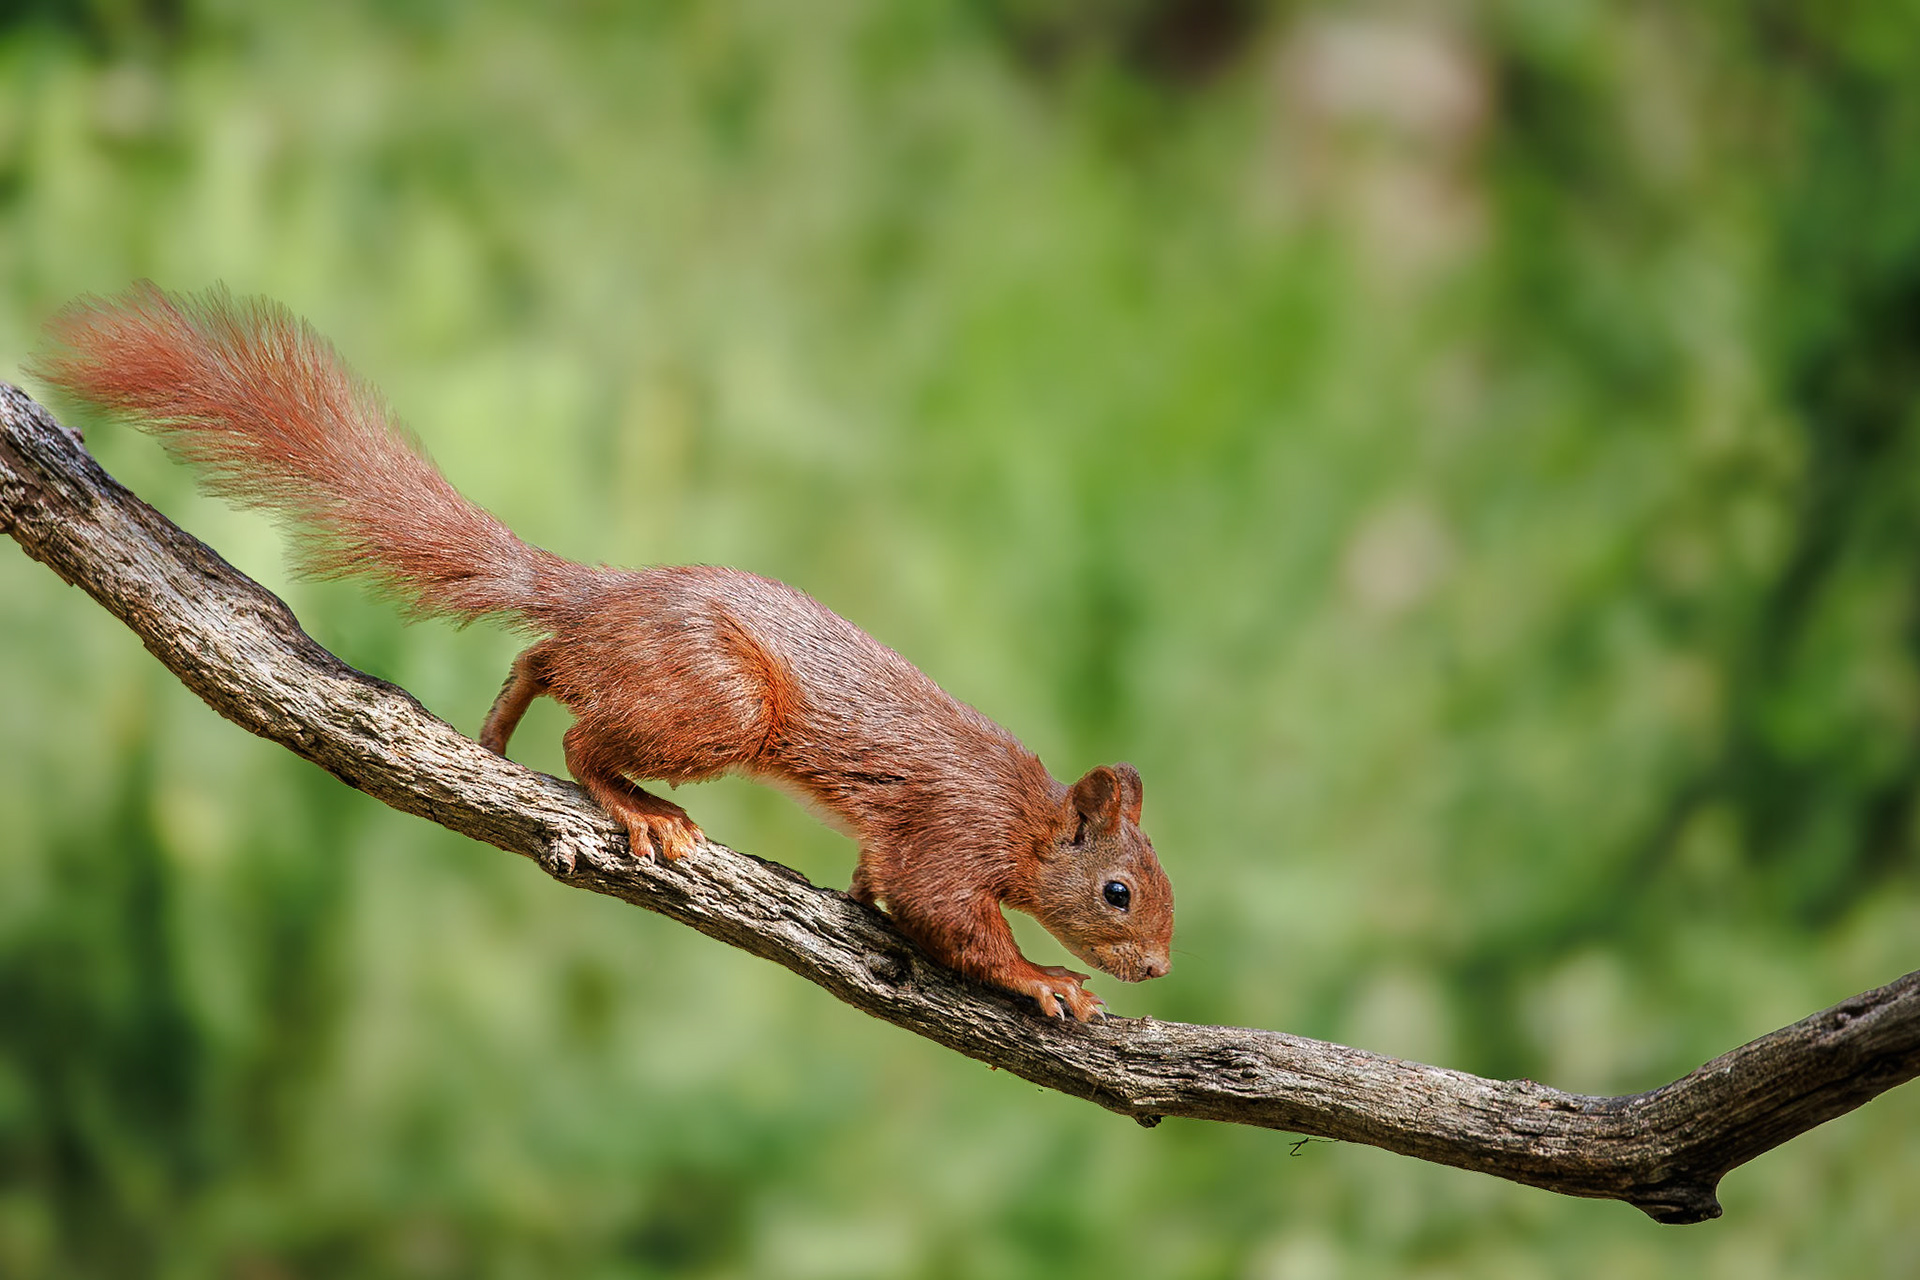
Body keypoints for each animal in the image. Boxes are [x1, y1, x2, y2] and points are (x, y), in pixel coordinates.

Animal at [30, 282, 1173, 1021]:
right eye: (1119, 891)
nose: (1160, 967)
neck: (1024, 820)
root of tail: (606, 593)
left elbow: (882, 884)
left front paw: (859, 897)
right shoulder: (952, 832)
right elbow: (948, 918)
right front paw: (1046, 979)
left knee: (546, 662)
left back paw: (495, 732)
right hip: (721, 704)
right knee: (585, 739)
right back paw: (641, 809)